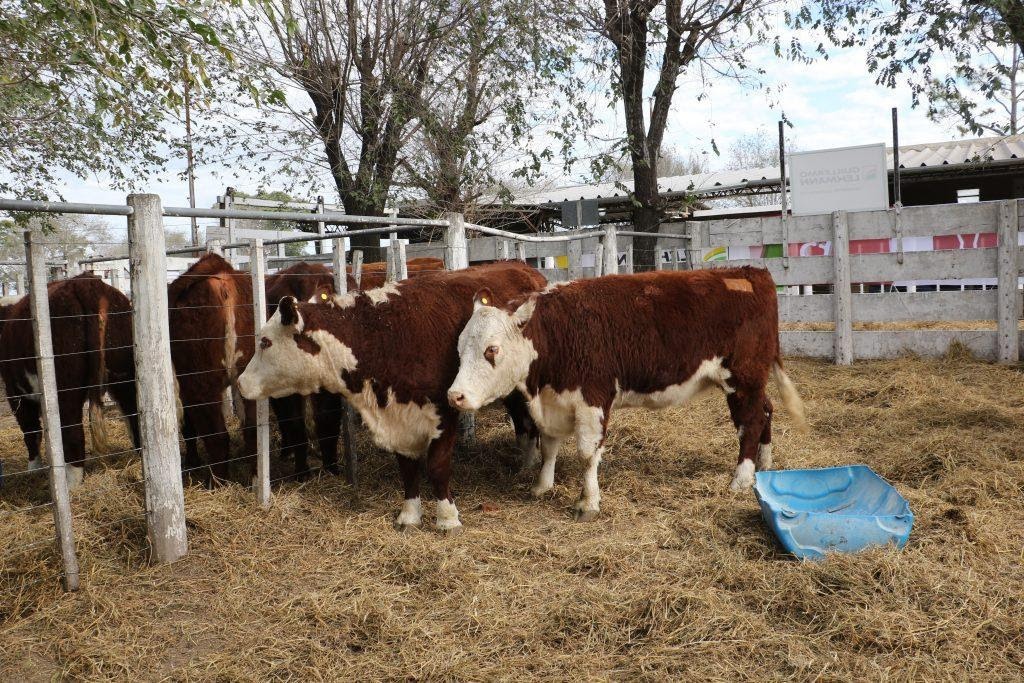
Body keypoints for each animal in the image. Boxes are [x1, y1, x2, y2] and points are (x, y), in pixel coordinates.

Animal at [0, 272, 139, 485]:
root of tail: (86, 284)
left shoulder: (15, 392)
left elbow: (31, 431)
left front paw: (34, 469)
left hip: (66, 388)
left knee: (73, 432)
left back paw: (71, 483)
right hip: (125, 375)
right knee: (135, 414)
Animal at [237, 262, 552, 532]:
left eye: (265, 342)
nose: (241, 382)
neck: (385, 334)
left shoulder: (444, 409)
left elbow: (437, 467)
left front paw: (447, 518)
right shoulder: (399, 416)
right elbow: (408, 469)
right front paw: (410, 515)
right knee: (522, 421)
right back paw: (526, 461)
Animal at [448, 266, 806, 524]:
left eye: (492, 349)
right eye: (460, 347)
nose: (455, 395)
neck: (555, 333)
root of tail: (751, 272)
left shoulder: (592, 399)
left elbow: (586, 454)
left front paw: (588, 503)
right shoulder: (553, 403)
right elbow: (549, 446)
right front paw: (541, 485)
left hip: (743, 378)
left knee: (750, 423)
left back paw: (741, 477)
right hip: (753, 382)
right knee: (765, 412)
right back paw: (764, 464)